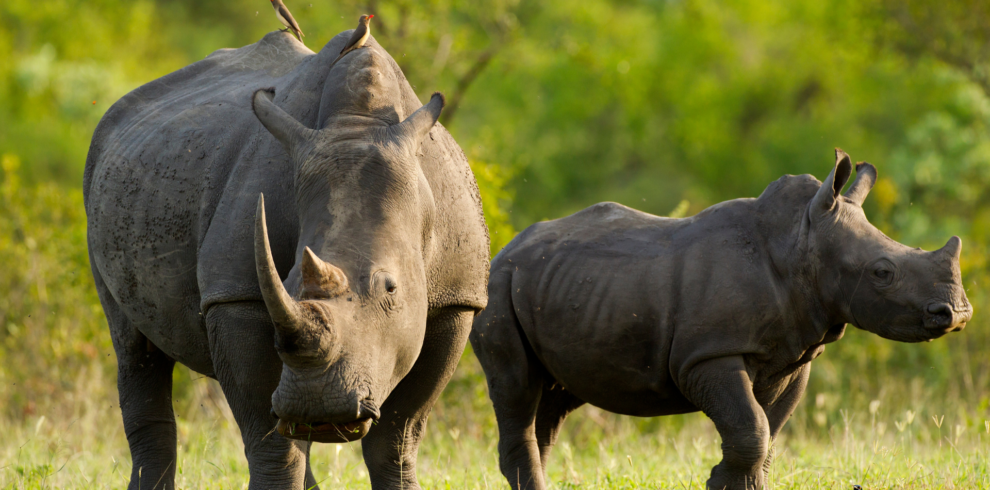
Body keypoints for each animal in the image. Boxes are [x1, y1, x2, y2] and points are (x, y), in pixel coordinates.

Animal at [84, 30, 489, 489]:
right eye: (287, 280)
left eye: (391, 288)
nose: (320, 408)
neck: (359, 125)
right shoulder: (236, 294)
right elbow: (271, 439)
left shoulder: (455, 299)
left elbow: (397, 439)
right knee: (133, 347)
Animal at [470, 150, 972, 490]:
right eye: (883, 273)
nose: (958, 314)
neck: (800, 243)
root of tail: (504, 249)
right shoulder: (707, 354)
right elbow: (751, 427)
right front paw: (723, 483)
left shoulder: (792, 355)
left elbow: (769, 429)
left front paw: (736, 485)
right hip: (498, 289)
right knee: (517, 386)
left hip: (557, 286)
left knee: (552, 400)